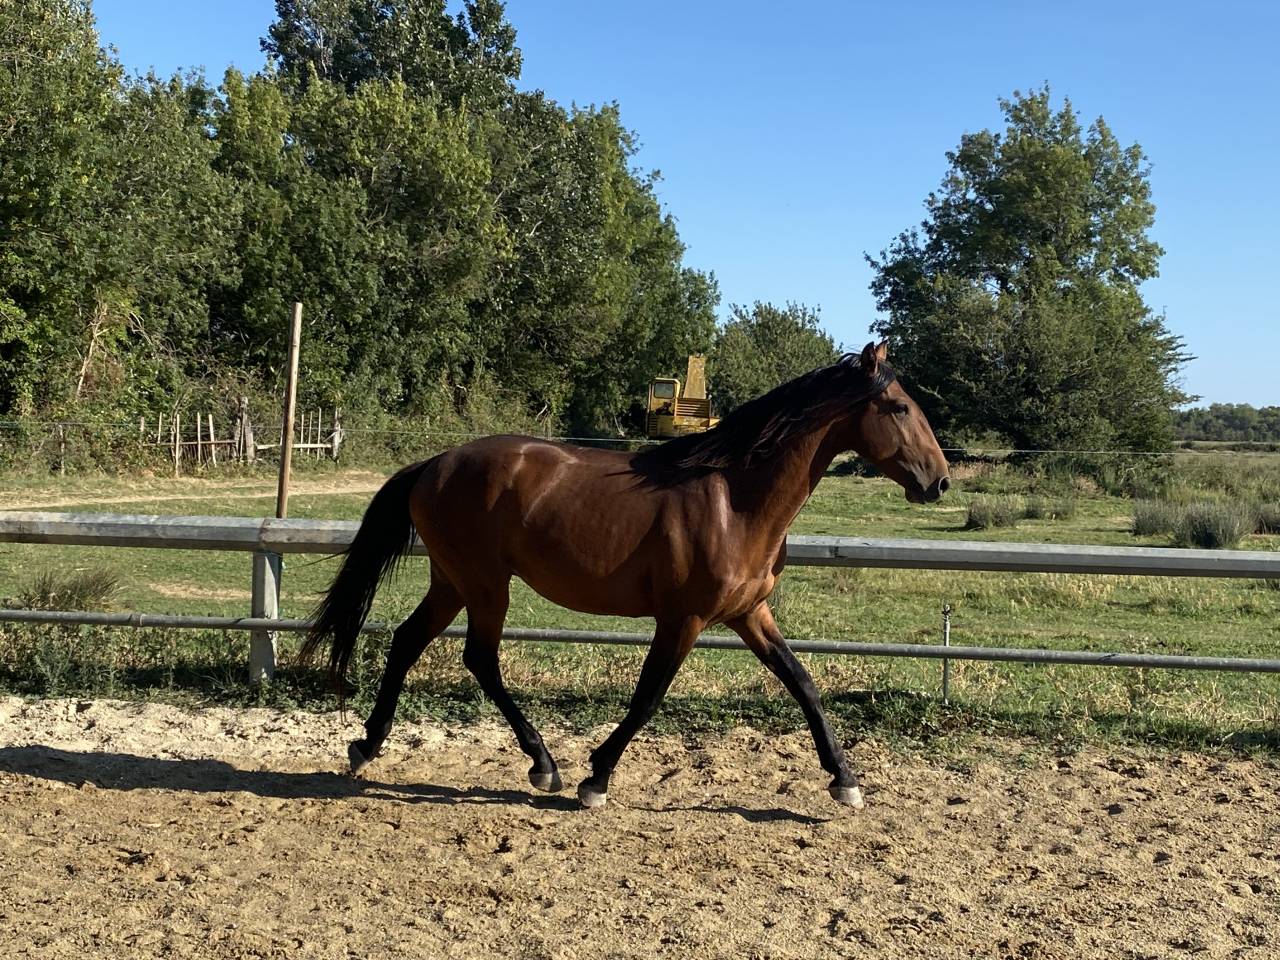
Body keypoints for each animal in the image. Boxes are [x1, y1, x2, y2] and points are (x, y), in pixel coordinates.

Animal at [303, 341, 950, 810]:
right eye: (898, 408)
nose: (939, 481)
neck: (736, 501)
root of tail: (435, 463)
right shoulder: (684, 618)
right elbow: (648, 696)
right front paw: (596, 778)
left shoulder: (748, 613)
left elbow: (802, 682)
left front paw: (845, 780)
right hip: (485, 584)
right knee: (479, 658)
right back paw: (543, 765)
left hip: (452, 582)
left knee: (408, 641)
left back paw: (367, 745)